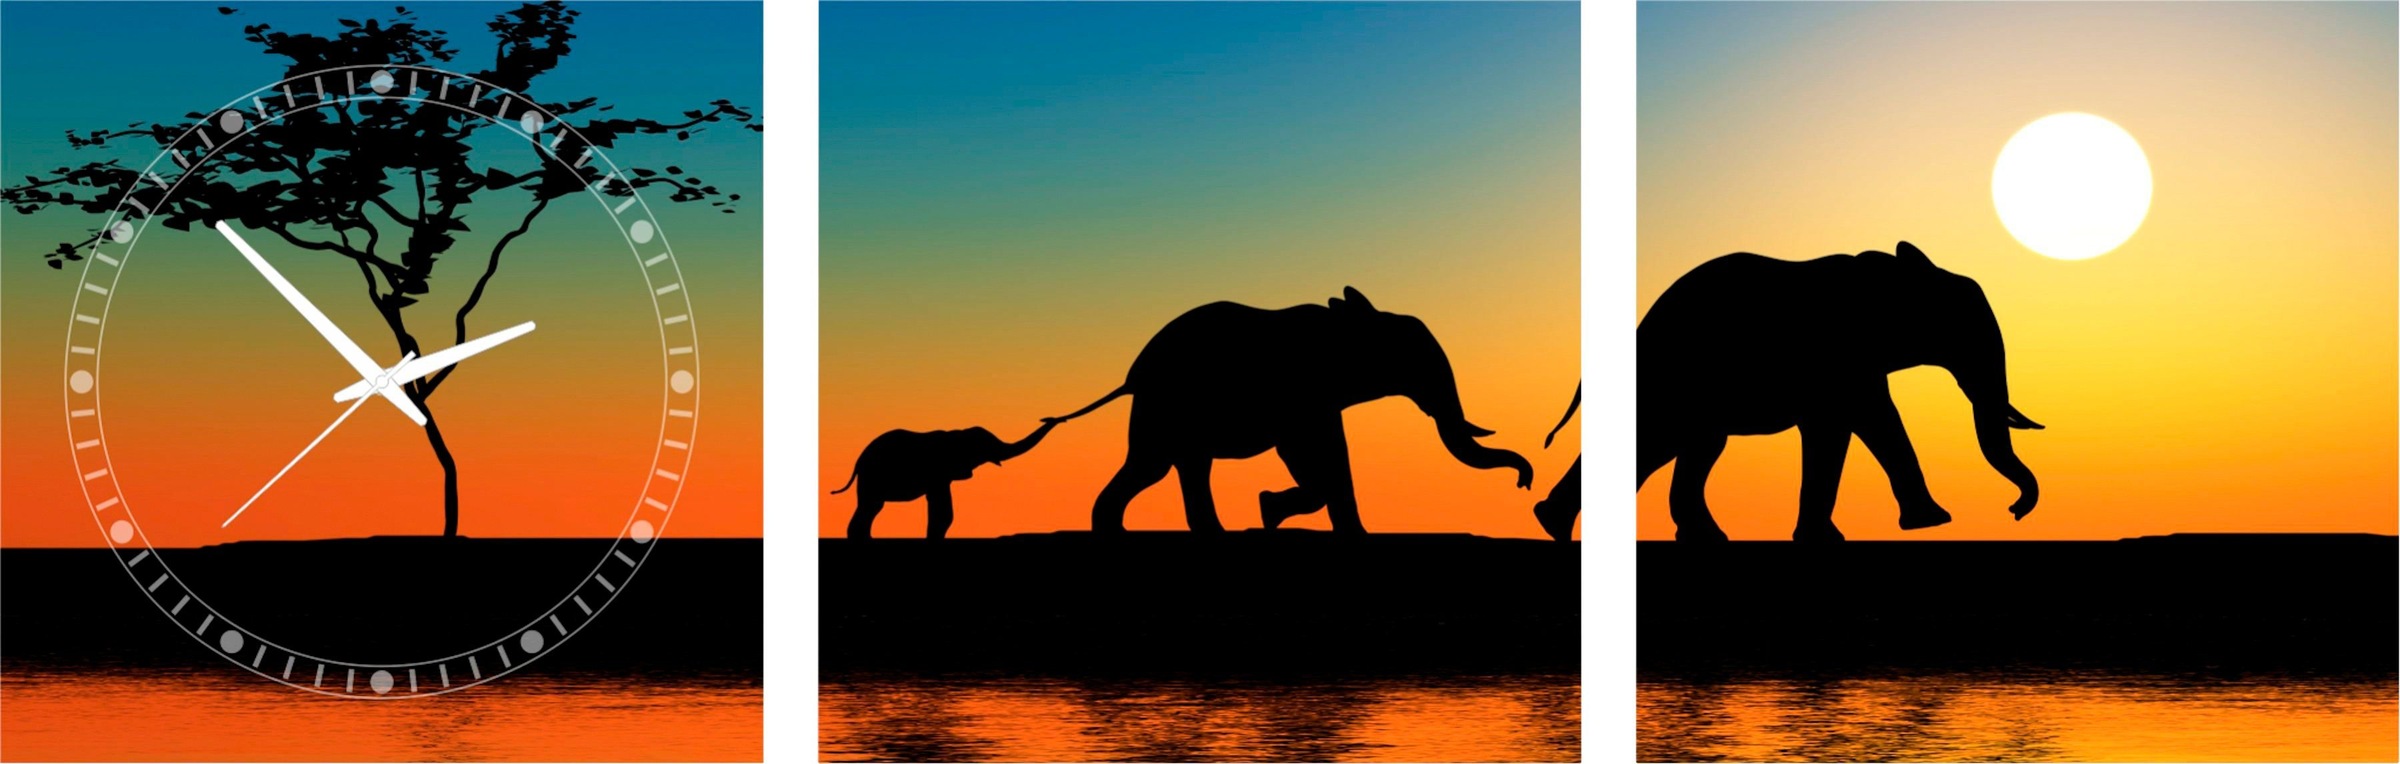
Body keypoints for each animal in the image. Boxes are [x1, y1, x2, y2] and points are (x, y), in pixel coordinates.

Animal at [835, 420, 1060, 539]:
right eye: (985, 446)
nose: (1053, 419)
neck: (956, 434)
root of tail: (859, 461)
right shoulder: (938, 470)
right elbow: (941, 506)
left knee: (872, 507)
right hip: (872, 477)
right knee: (870, 506)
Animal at [1049, 287, 1534, 534]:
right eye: (1413, 360)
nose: (1524, 483)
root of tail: (1133, 375)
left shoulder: (1320, 399)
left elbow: (1331, 456)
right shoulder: (1302, 394)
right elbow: (1309, 455)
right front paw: (1268, 511)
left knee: (1177, 465)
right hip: (1166, 404)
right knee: (1156, 465)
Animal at [1637, 241, 2044, 542]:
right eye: (1958, 326)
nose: (2014, 511)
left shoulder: (1861, 367)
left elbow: (1873, 423)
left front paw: (1928, 522)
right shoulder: (1837, 359)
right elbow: (1844, 428)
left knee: (1702, 448)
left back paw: (1706, 537)